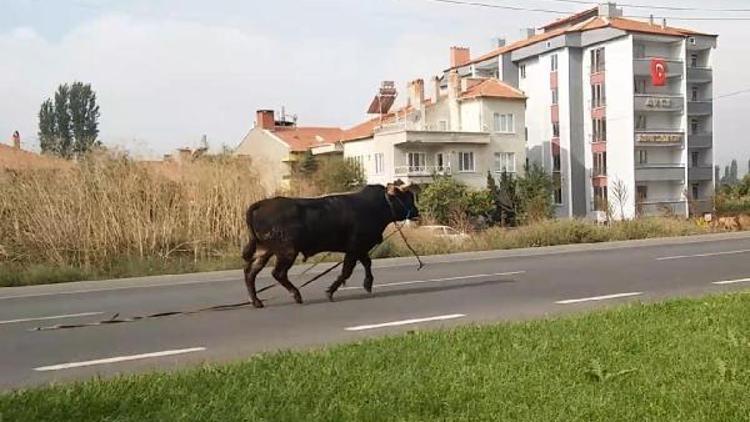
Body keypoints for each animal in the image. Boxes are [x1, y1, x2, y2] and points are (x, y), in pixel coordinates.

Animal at [244, 184, 420, 306]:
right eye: (407, 197)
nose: (417, 211)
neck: (377, 206)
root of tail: (264, 203)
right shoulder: (355, 247)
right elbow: (347, 270)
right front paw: (330, 291)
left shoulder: (360, 249)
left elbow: (367, 264)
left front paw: (368, 284)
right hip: (287, 252)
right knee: (277, 273)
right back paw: (296, 295)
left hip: (264, 251)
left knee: (250, 273)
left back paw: (257, 302)